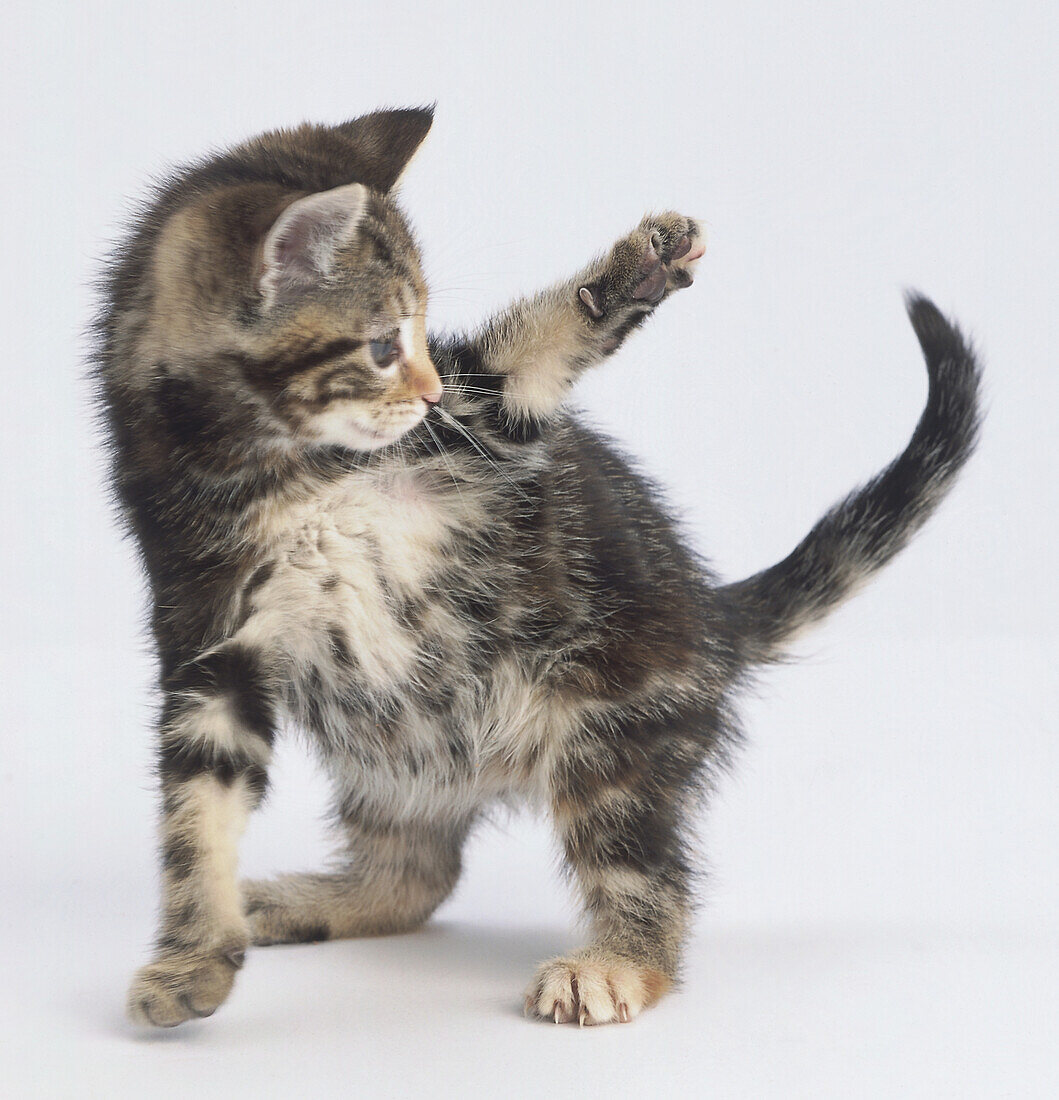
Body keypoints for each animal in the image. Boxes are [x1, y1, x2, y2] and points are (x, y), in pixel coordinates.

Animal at [95, 107, 980, 1025]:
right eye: (380, 346)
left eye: (423, 338)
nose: (427, 392)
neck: (287, 471)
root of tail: (711, 619)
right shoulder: (207, 631)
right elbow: (196, 812)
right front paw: (191, 961)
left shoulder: (485, 426)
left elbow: (529, 359)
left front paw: (636, 269)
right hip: (393, 747)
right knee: (418, 874)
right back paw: (310, 901)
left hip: (612, 728)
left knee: (639, 867)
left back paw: (619, 960)